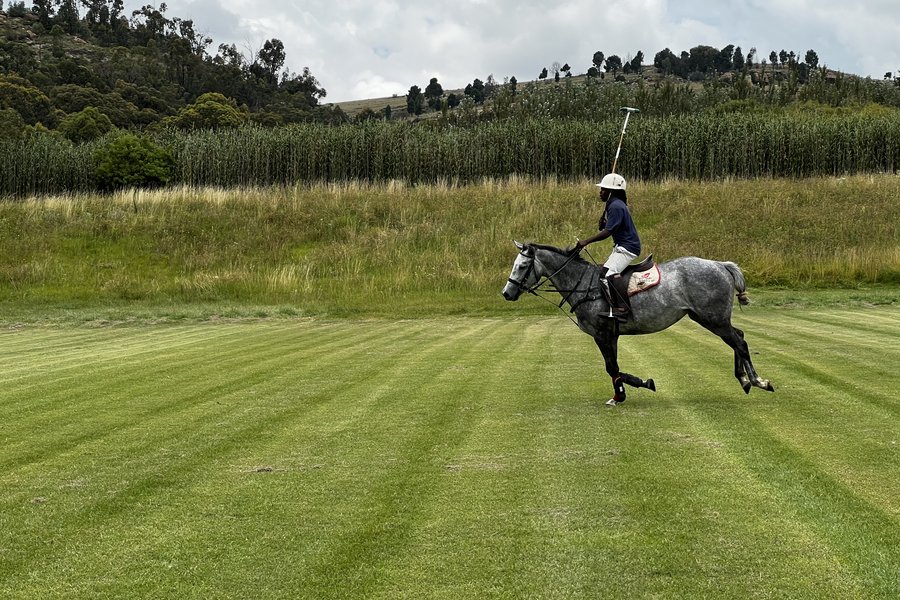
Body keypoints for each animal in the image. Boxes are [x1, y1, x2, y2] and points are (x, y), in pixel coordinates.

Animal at [502, 242, 774, 405]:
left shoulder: (601, 334)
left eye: (522, 266)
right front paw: (622, 392)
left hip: (713, 319)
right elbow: (613, 367)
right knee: (739, 337)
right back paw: (744, 380)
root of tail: (720, 265)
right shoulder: (611, 335)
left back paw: (758, 381)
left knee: (739, 342)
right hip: (710, 318)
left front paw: (629, 390)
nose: (506, 293)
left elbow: (612, 367)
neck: (581, 284)